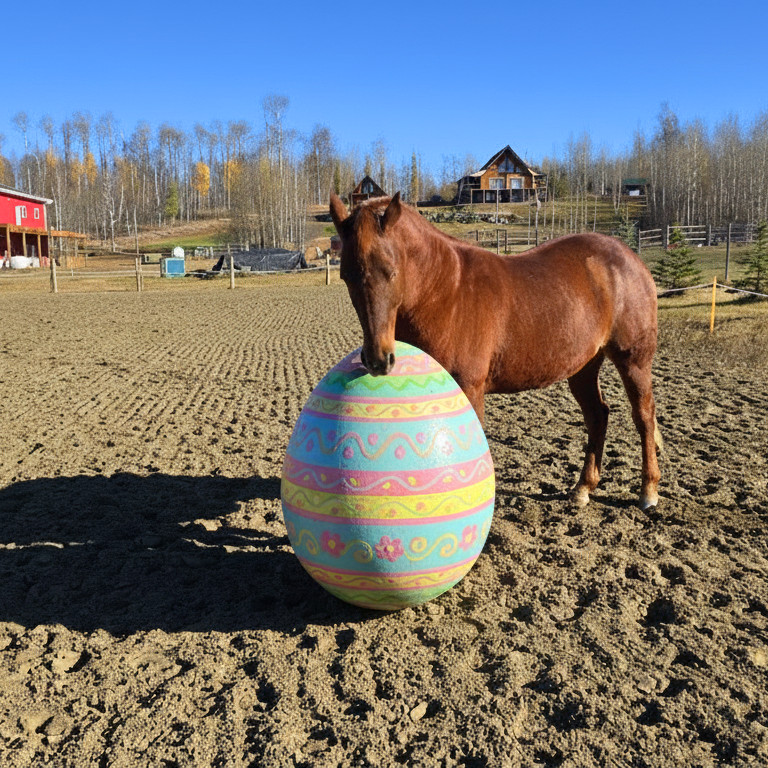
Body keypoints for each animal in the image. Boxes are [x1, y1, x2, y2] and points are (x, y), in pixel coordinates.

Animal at [329, 192, 662, 510]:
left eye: (391, 271)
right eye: (346, 275)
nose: (377, 359)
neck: (444, 291)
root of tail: (630, 258)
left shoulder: (469, 388)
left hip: (633, 360)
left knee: (643, 416)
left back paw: (648, 491)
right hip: (583, 367)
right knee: (597, 415)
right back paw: (583, 489)